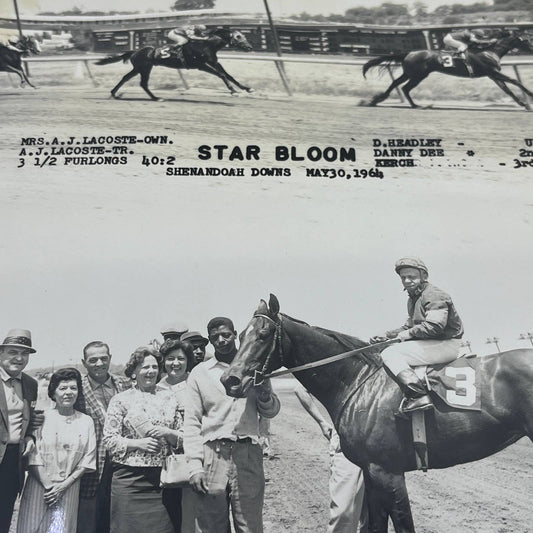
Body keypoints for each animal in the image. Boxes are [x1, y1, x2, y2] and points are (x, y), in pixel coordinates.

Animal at [94, 28, 252, 101]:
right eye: (238, 36)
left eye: (244, 35)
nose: (249, 47)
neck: (205, 45)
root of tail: (135, 51)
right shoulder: (201, 65)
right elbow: (221, 75)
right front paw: (233, 91)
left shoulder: (214, 62)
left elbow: (228, 75)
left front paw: (247, 88)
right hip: (144, 68)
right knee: (142, 83)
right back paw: (156, 98)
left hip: (140, 68)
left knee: (126, 78)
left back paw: (114, 94)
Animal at [220, 296, 532, 532]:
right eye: (240, 335)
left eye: (262, 335)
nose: (230, 380)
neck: (357, 380)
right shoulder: (371, 473)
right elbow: (375, 525)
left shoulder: (387, 472)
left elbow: (403, 525)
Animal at [362, 30, 532, 109]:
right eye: (527, 40)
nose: (532, 47)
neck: (489, 51)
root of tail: (409, 52)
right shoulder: (493, 72)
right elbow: (515, 81)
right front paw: (530, 96)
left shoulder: (493, 75)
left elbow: (508, 90)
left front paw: (524, 104)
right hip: (418, 75)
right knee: (405, 87)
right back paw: (415, 105)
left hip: (411, 73)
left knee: (397, 84)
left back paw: (377, 100)